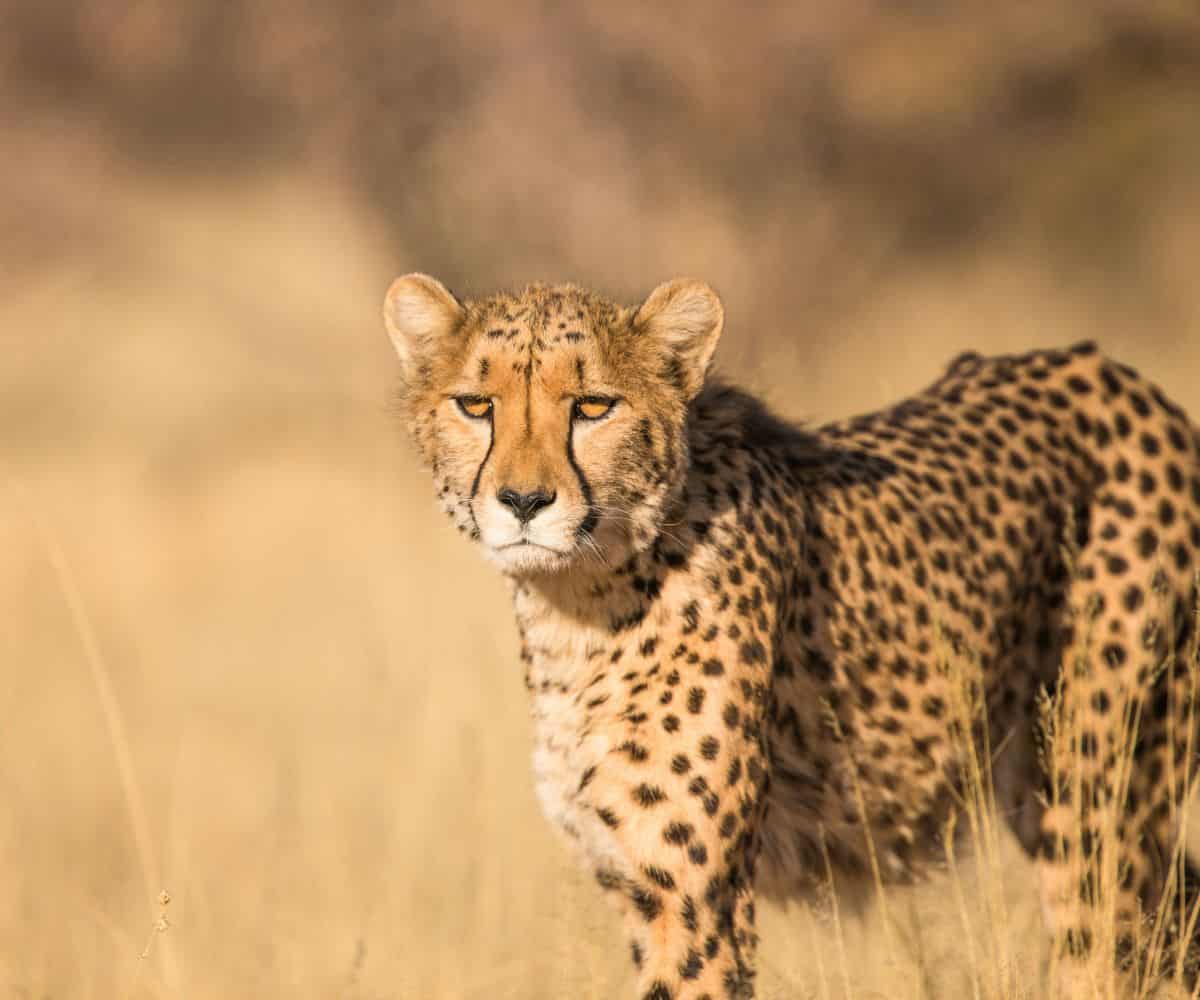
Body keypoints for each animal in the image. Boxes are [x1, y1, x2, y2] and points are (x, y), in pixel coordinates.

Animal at [384, 271, 1200, 989]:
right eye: (475, 404)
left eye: (592, 406)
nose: (523, 501)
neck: (579, 603)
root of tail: (1114, 373)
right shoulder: (635, 881)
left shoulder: (693, 898)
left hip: (1097, 804)